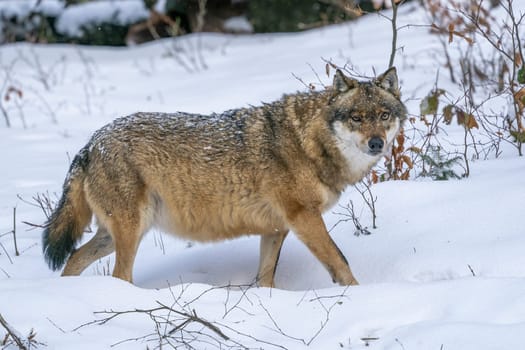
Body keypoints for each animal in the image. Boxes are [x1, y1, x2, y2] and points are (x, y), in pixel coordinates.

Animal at [43, 67, 408, 288]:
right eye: (356, 117)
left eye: (383, 115)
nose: (376, 143)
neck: (309, 142)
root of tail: (91, 143)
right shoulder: (304, 218)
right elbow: (340, 262)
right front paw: (358, 294)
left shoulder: (277, 228)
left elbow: (265, 278)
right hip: (131, 231)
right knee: (120, 275)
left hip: (117, 233)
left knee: (74, 259)